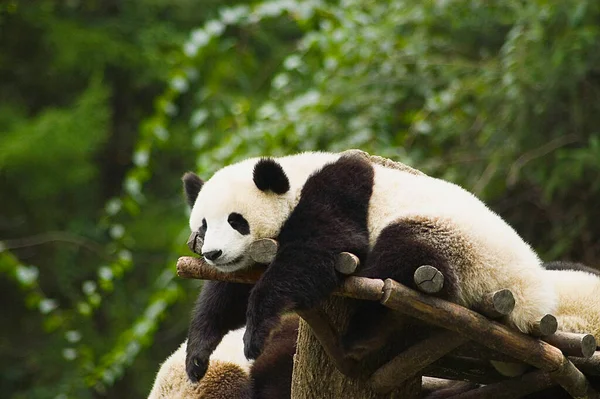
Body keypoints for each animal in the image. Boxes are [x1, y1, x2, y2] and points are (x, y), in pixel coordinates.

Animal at [183, 152, 556, 380]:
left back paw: (359, 335)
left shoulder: (338, 191)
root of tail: (533, 302)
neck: (296, 176)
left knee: (399, 258)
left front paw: (255, 335)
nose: (214, 253)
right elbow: (225, 293)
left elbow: (323, 248)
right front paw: (198, 356)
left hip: (462, 248)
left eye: (236, 221)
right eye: (203, 225)